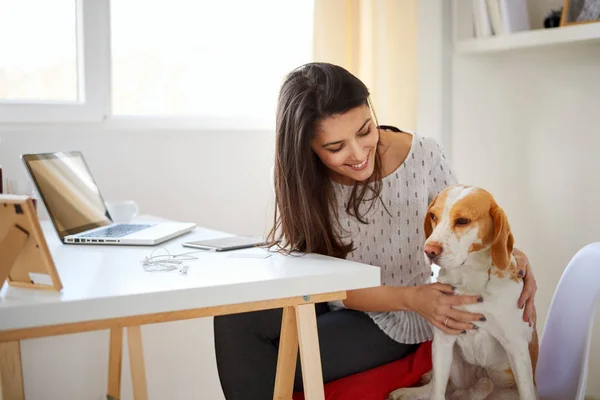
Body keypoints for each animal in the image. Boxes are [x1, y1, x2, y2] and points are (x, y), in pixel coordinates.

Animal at [390, 186, 540, 398]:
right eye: (433, 216)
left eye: (462, 220)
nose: (429, 251)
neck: (469, 280)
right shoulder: (443, 341)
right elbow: (437, 392)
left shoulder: (517, 348)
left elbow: (526, 391)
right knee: (440, 385)